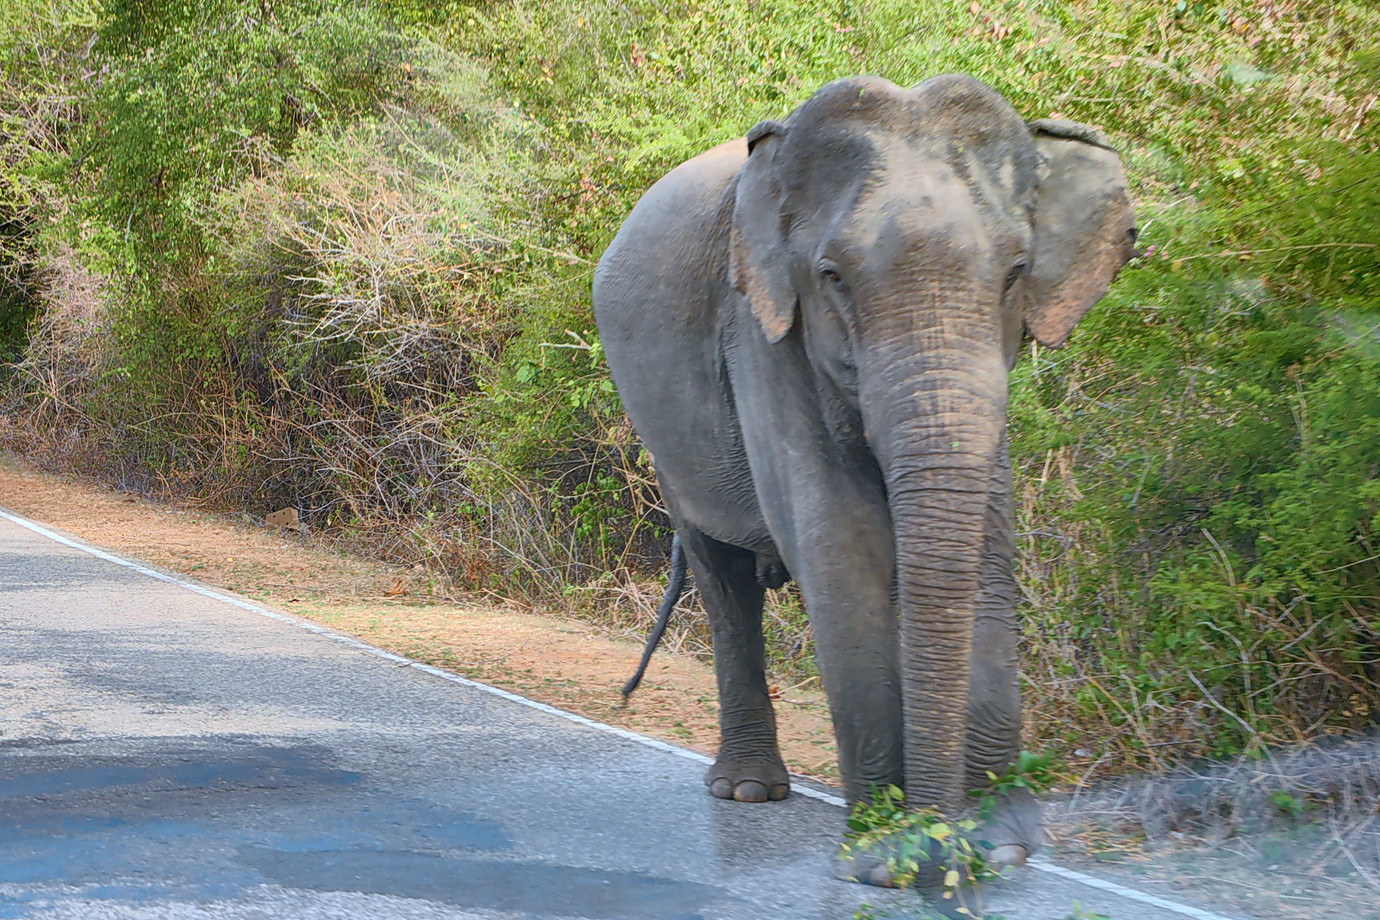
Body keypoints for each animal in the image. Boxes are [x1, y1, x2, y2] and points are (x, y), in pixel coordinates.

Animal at [587, 77, 1137, 882]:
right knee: (724, 580)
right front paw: (885, 859)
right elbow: (839, 544)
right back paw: (747, 792)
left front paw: (1002, 849)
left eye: (1015, 274)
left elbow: (986, 549)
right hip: (662, 434)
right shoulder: (762, 329)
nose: (941, 850)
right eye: (832, 277)